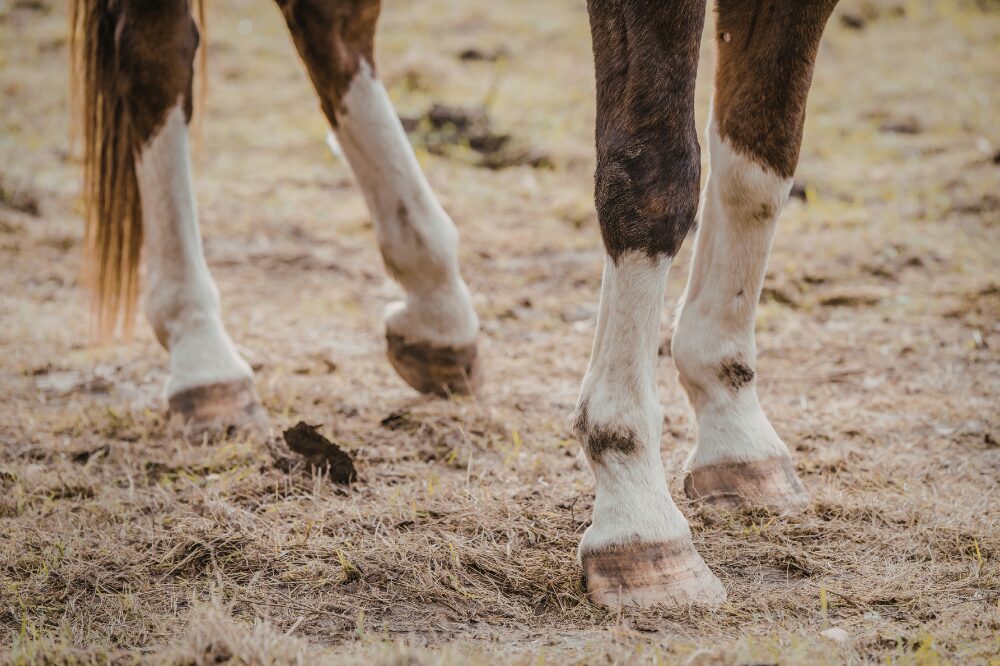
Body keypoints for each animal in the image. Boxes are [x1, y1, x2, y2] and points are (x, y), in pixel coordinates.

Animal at [69, 0, 840, 609]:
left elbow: (760, 159)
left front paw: (734, 427)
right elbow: (655, 171)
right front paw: (638, 515)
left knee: (326, 22)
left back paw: (436, 307)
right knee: (155, 47)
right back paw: (203, 358)